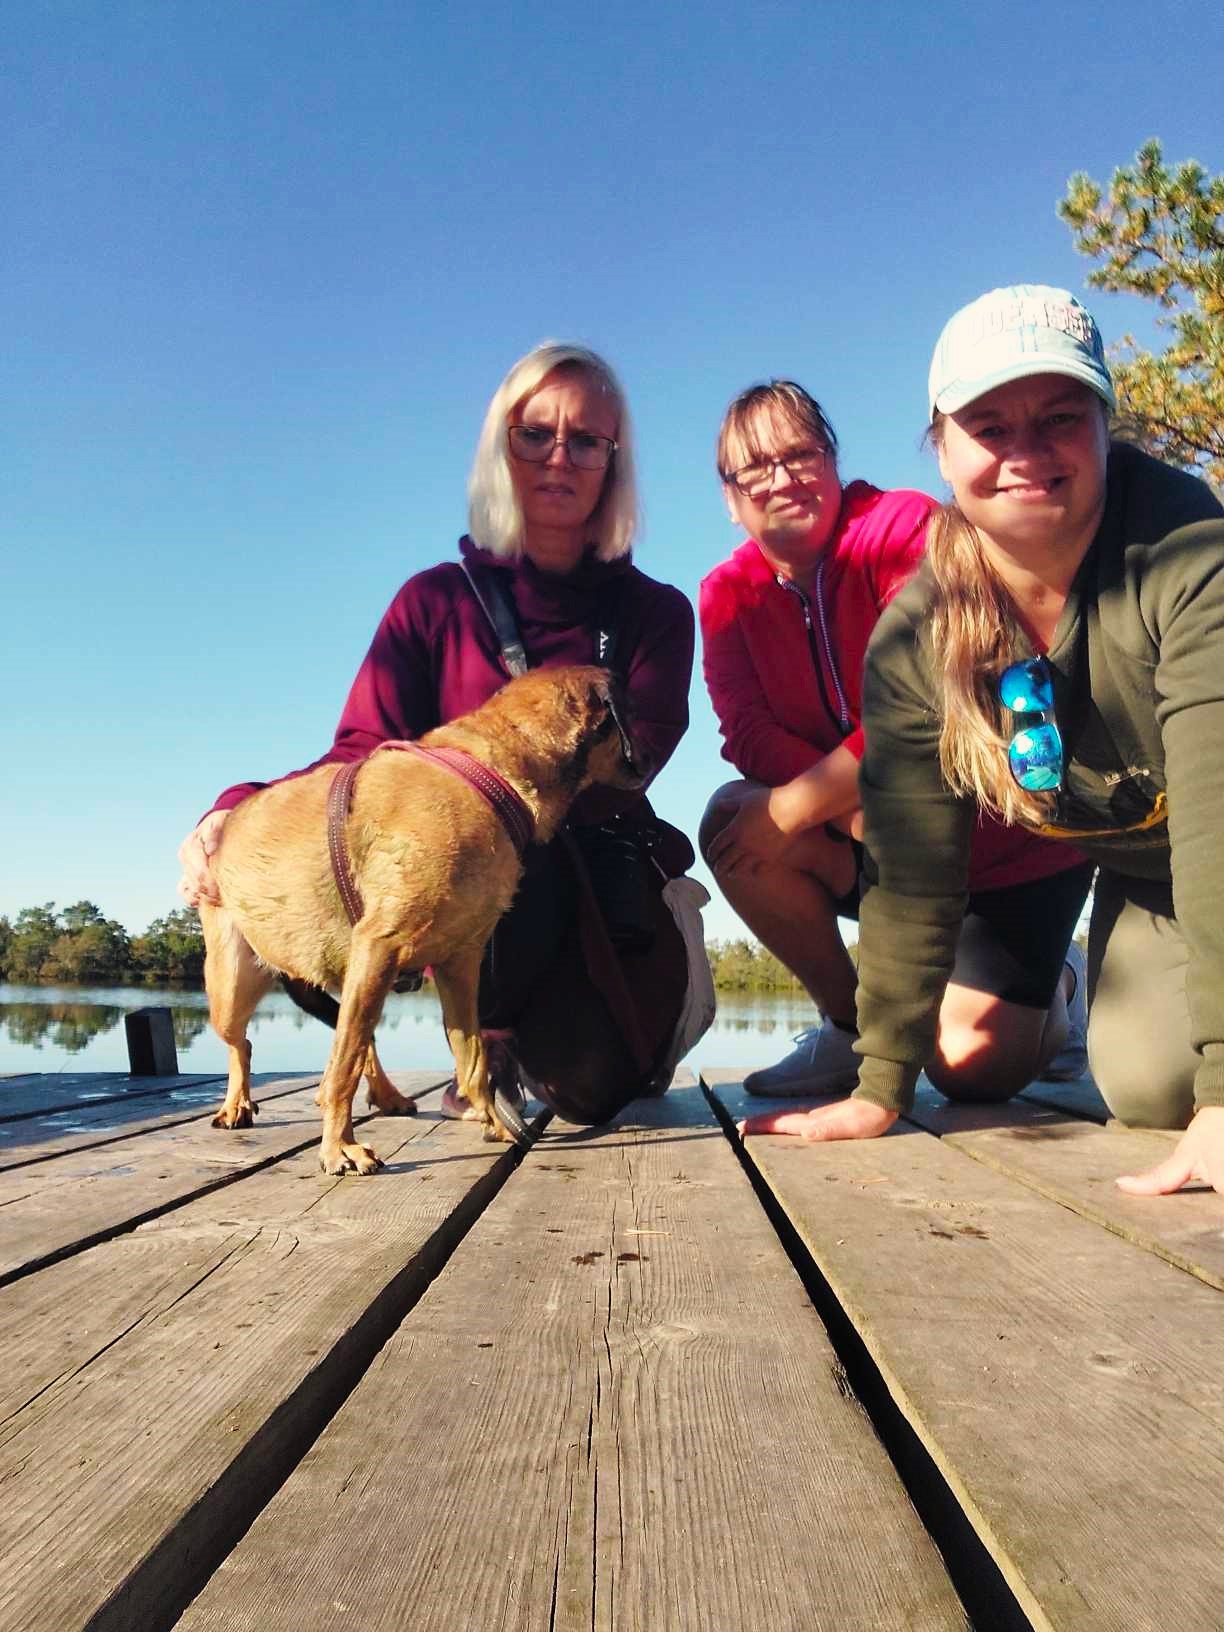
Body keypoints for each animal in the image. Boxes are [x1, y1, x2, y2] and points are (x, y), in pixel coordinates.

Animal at [199, 666, 641, 1173]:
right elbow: (344, 1067)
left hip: (354, 975)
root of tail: (227, 825)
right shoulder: (382, 943)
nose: (650, 754)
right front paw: (339, 1147)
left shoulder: (459, 964)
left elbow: (472, 1060)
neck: (492, 775)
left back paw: (387, 1094)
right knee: (246, 1045)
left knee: (360, 1039)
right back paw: (237, 1104)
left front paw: (494, 1120)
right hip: (234, 985)